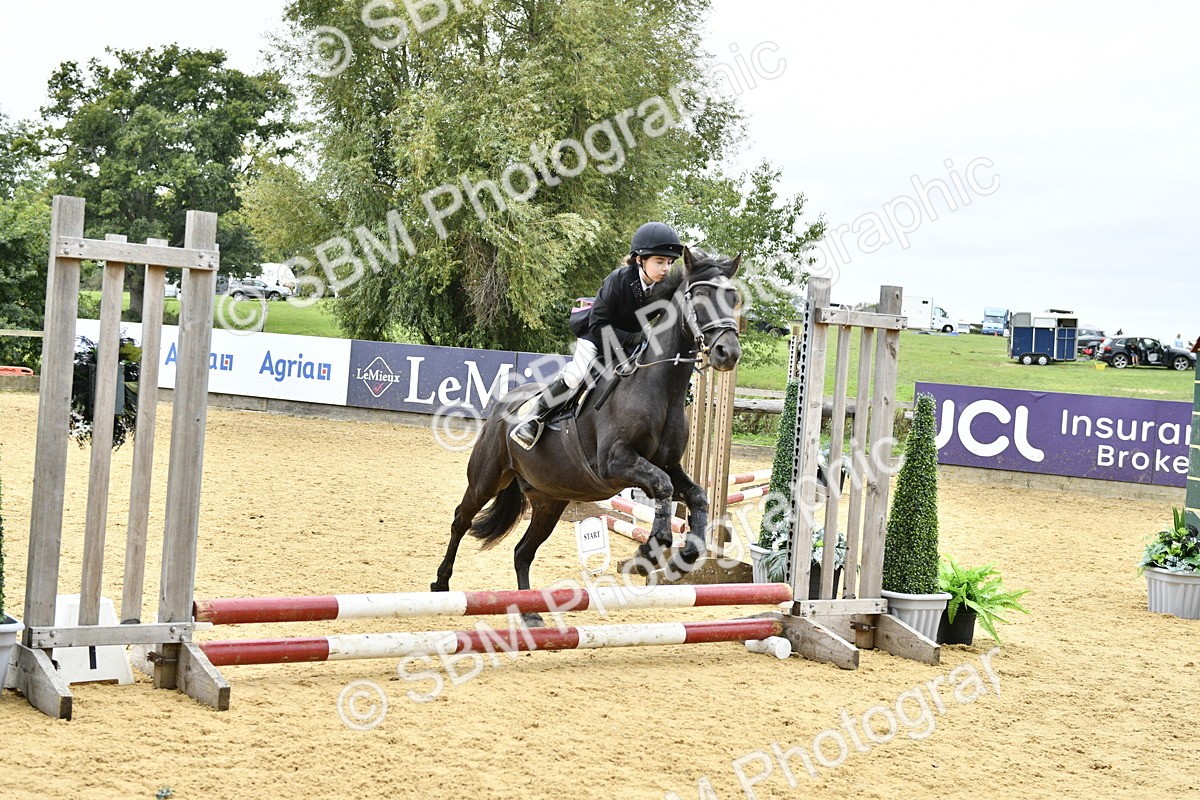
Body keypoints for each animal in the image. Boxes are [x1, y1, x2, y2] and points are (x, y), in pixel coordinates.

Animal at [431, 248, 743, 624]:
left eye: (734, 298)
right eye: (699, 296)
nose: (729, 353)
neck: (661, 388)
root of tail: (503, 405)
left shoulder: (668, 465)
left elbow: (696, 494)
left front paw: (686, 556)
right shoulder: (617, 462)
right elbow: (664, 487)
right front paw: (651, 548)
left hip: (550, 500)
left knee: (523, 550)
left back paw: (529, 613)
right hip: (487, 478)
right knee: (460, 519)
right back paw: (441, 583)